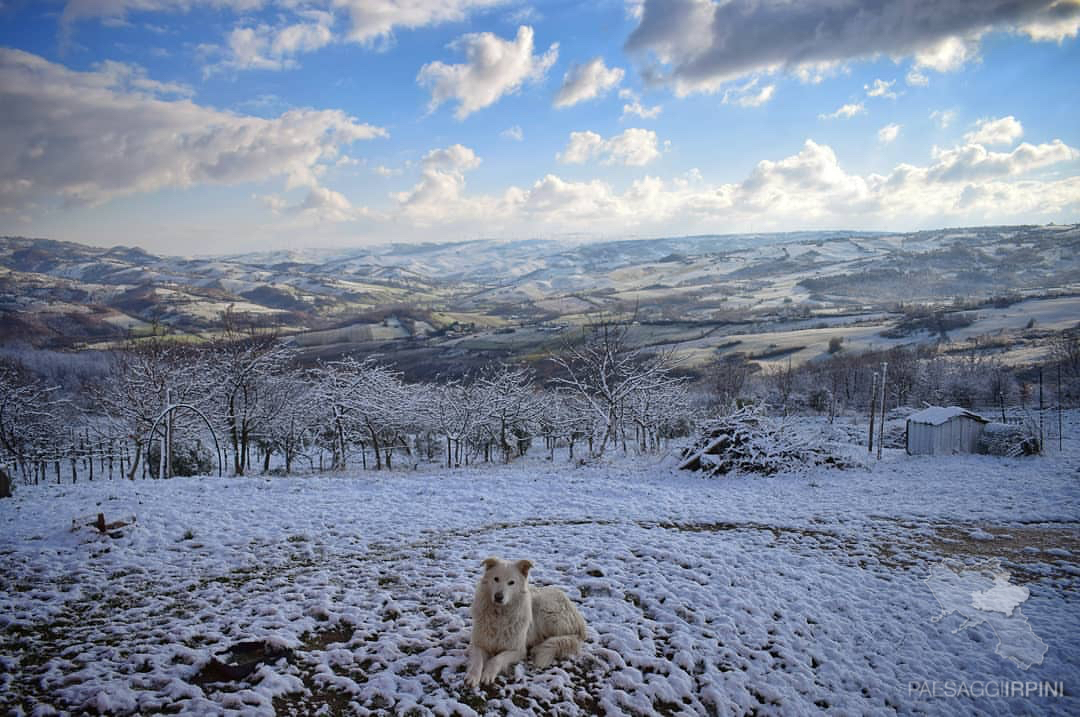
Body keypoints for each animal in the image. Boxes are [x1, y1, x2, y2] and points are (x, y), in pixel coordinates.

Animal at [462, 557, 587, 686]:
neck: (500, 614)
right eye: (496, 579)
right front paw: (473, 676)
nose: (498, 597)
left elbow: (497, 659)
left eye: (511, 582)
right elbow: (477, 661)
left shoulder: (518, 650)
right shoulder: (477, 644)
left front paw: (488, 674)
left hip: (544, 610)